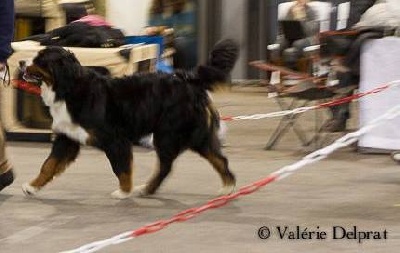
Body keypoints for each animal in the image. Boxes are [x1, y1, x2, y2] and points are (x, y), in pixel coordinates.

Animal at [21, 38, 239, 199]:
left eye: (40, 59)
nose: (22, 62)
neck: (68, 90)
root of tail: (189, 79)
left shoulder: (115, 140)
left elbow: (121, 168)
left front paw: (124, 191)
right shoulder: (67, 138)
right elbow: (48, 165)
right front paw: (32, 186)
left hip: (171, 134)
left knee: (171, 165)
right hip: (187, 135)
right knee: (212, 159)